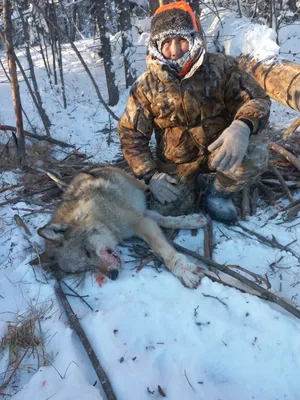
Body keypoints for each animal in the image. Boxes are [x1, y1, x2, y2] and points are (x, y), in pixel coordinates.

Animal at [37, 166, 207, 288]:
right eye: (85, 268)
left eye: (86, 252)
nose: (113, 275)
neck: (97, 215)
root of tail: (91, 170)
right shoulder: (143, 218)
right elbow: (165, 220)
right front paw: (193, 220)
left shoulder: (140, 222)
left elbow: (162, 249)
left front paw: (183, 271)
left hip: (133, 184)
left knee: (144, 184)